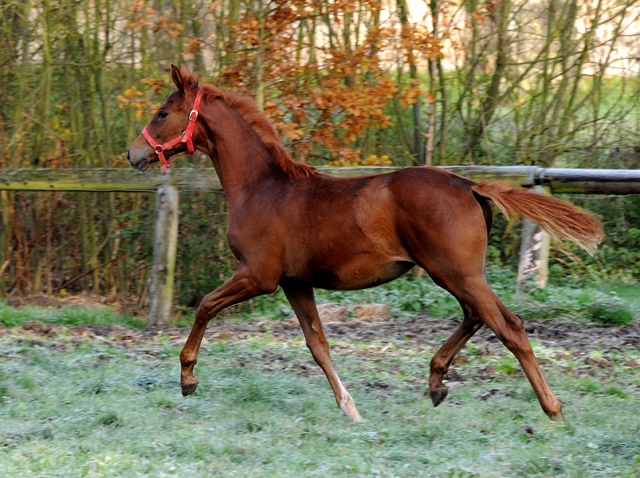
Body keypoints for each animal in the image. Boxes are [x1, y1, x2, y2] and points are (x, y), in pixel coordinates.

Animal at [127, 66, 604, 422]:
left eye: (162, 112)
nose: (133, 155)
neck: (260, 188)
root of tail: (469, 185)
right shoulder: (295, 282)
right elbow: (317, 344)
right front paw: (351, 409)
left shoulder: (259, 276)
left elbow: (205, 306)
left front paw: (188, 379)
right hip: (456, 274)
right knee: (477, 317)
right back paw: (436, 382)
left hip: (455, 272)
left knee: (509, 326)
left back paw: (553, 409)